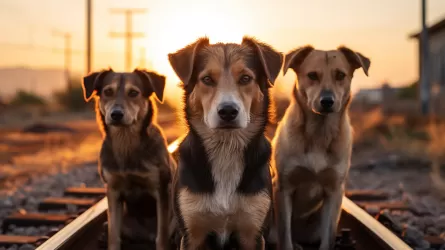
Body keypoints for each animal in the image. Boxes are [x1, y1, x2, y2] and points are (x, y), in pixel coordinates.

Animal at [82, 67, 176, 250]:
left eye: (133, 93)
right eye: (107, 92)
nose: (116, 114)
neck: (126, 143)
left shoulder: (161, 189)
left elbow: (161, 237)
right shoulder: (113, 191)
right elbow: (114, 236)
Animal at [166, 35, 284, 250]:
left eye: (245, 78)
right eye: (207, 79)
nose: (228, 111)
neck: (226, 148)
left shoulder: (252, 233)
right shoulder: (192, 235)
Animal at [272, 45, 370, 250]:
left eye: (340, 75)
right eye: (312, 75)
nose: (327, 101)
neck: (319, 133)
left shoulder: (334, 192)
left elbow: (328, 237)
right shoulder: (283, 187)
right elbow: (284, 236)